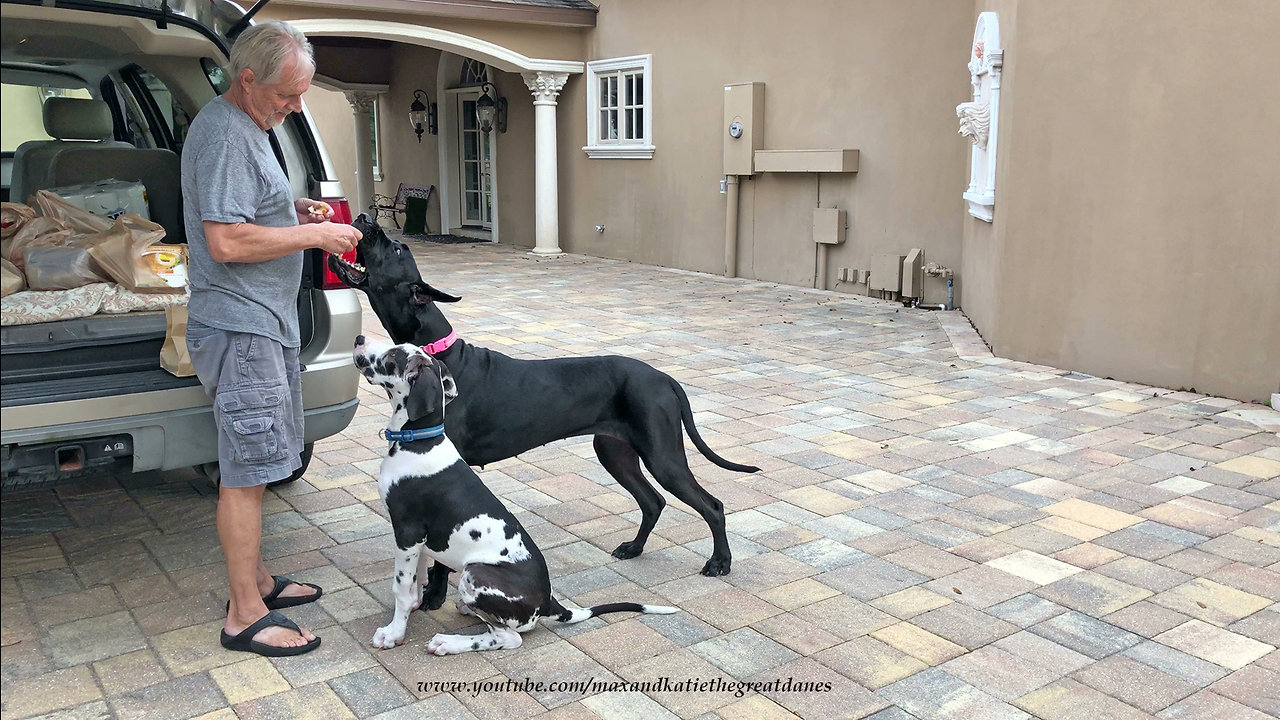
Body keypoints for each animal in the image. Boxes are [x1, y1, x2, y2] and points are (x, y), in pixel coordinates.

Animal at [330, 217, 757, 594]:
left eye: (396, 248)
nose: (365, 218)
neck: (438, 352)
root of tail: (664, 377)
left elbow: (440, 558)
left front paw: (434, 597)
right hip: (614, 451)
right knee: (652, 501)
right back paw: (634, 548)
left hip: (662, 454)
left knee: (711, 504)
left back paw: (720, 562)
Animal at [350, 333, 670, 653]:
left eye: (392, 357)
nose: (360, 338)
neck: (418, 441)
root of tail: (549, 603)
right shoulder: (418, 540)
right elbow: (415, 579)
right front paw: (415, 605)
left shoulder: (407, 531)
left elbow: (401, 588)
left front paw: (394, 633)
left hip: (475, 573)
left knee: (507, 637)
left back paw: (448, 642)